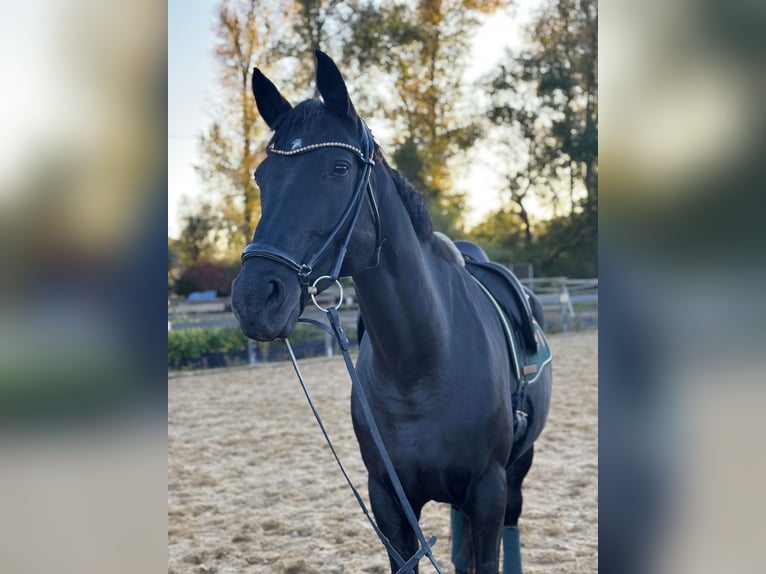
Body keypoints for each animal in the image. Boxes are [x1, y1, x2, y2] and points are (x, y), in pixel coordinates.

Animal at [231, 50, 552, 574]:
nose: (255, 298)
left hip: (518, 471)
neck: (421, 364)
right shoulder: (389, 504)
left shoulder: (489, 492)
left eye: (340, 167)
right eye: (262, 177)